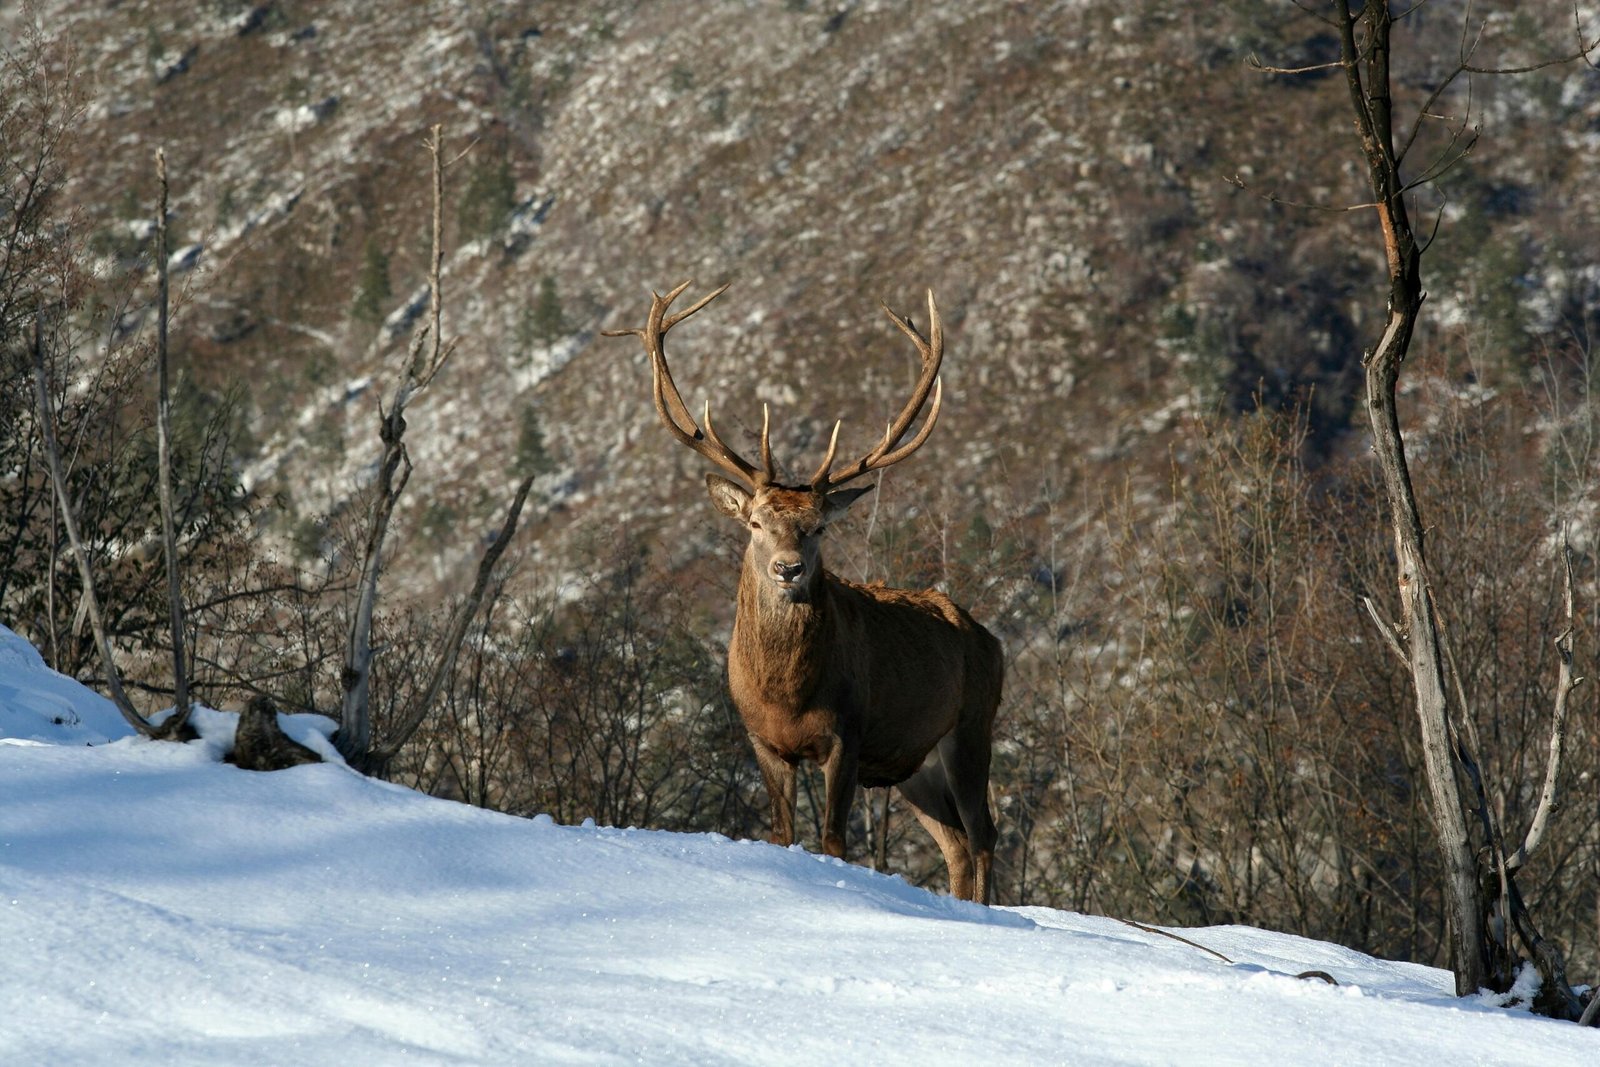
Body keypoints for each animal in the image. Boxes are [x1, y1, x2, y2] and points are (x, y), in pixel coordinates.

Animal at [605, 282, 1004, 903]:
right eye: (755, 522)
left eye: (818, 527)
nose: (788, 569)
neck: (786, 694)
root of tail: (993, 641)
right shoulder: (763, 741)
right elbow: (781, 834)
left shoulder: (848, 733)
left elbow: (834, 841)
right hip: (915, 764)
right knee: (957, 845)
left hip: (972, 725)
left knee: (985, 834)